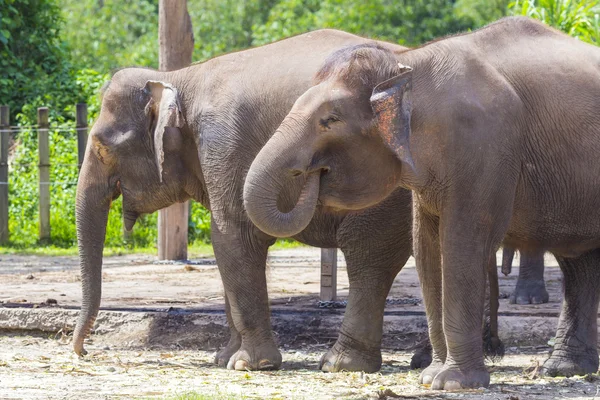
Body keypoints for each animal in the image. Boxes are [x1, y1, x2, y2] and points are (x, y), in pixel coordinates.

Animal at [72, 29, 422, 374]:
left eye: (103, 147)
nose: (83, 351)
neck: (178, 77)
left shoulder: (223, 145)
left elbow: (232, 237)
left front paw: (248, 364)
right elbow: (230, 248)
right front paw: (224, 358)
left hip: (383, 189)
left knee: (367, 253)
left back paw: (341, 364)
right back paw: (418, 361)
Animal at [241, 17, 600, 390]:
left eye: (331, 119)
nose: (310, 172)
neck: (409, 64)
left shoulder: (484, 146)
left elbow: (462, 243)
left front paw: (453, 383)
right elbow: (427, 247)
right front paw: (431, 377)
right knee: (580, 262)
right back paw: (563, 369)